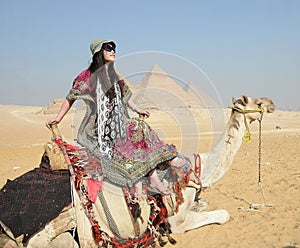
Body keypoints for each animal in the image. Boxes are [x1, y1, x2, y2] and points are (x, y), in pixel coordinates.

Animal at [1, 94, 274, 247]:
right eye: (258, 102)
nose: (272, 104)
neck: (199, 168)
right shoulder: (176, 220)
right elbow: (223, 215)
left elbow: (205, 204)